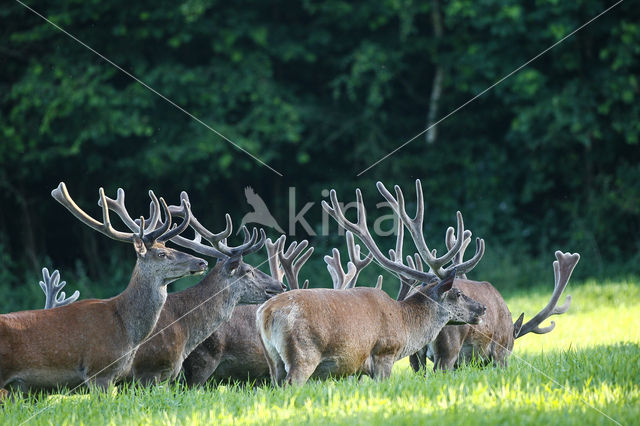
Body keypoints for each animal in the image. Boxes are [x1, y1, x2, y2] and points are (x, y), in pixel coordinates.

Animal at [255, 183, 484, 386]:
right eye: (457, 292)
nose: (482, 308)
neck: (404, 324)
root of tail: (266, 313)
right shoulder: (384, 352)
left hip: (272, 357)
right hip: (303, 353)